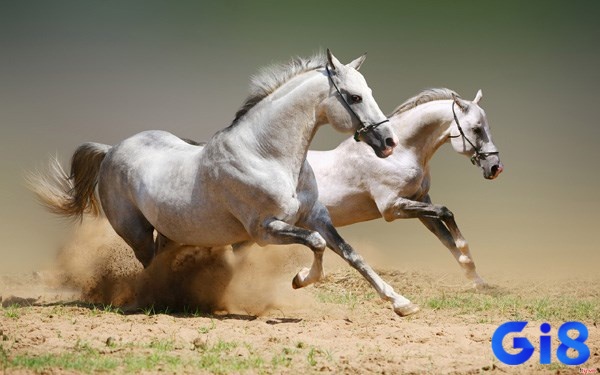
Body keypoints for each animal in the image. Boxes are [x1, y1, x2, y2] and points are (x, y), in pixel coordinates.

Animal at [29, 50, 422, 318]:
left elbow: (351, 254)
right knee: (148, 265)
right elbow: (316, 244)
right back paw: (155, 300)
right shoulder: (264, 230)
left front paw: (401, 303)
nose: (388, 142)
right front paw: (299, 279)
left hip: (171, 232)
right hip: (135, 232)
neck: (267, 155)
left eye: (367, 90)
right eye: (354, 97)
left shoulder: (316, 216)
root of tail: (111, 150)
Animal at [308, 89, 504, 290]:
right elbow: (445, 212)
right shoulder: (391, 208)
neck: (399, 154)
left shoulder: (420, 201)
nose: (495, 167)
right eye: (476, 129)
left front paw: (477, 279)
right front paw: (466, 253)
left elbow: (446, 237)